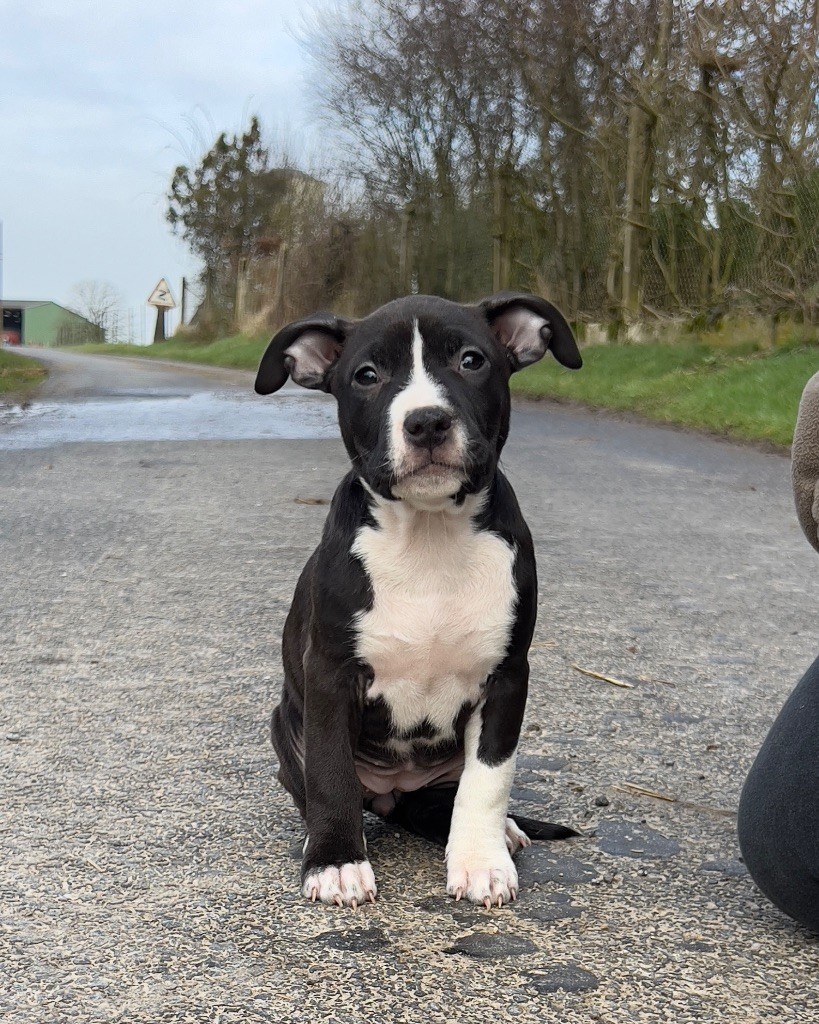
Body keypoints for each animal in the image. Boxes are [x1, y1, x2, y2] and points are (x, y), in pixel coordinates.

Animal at [255, 292, 581, 909]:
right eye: (366, 375)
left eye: (471, 361)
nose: (426, 421)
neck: (429, 539)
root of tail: (393, 792)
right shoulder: (330, 674)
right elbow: (330, 772)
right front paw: (335, 862)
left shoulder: (507, 676)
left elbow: (487, 779)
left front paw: (481, 862)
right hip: (286, 722)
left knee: (442, 803)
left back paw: (499, 832)